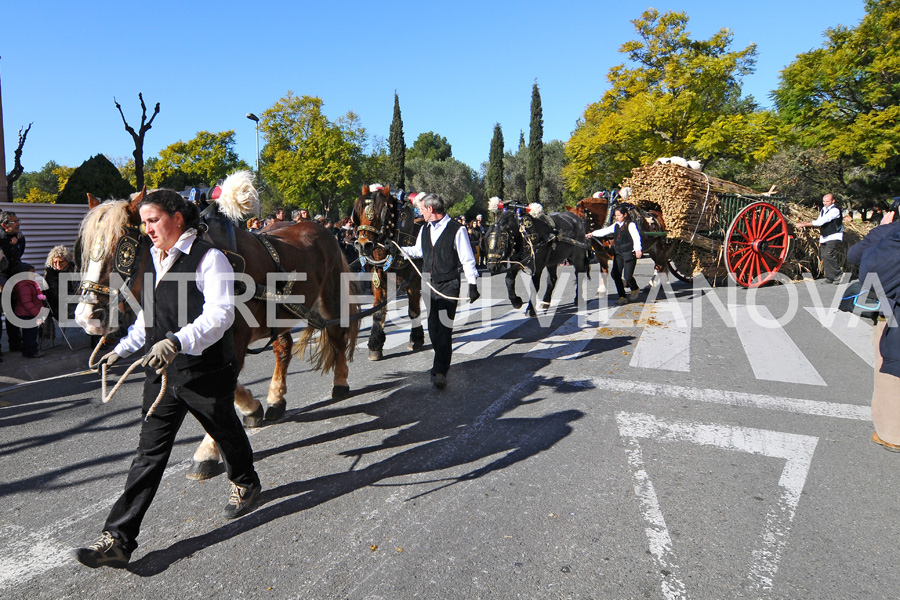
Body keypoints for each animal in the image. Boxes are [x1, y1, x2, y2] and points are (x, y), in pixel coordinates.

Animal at [74, 172, 360, 478]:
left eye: (122, 248)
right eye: (86, 247)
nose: (87, 315)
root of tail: (319, 228)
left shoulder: (232, 341)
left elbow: (218, 393)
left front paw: (207, 453)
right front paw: (253, 410)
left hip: (331, 298)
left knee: (337, 335)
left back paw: (340, 382)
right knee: (283, 348)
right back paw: (275, 400)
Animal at [350, 185, 424, 358]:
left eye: (382, 213)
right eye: (359, 212)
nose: (363, 245)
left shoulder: (413, 283)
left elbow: (413, 310)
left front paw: (416, 340)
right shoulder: (378, 283)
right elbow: (378, 312)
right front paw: (375, 345)